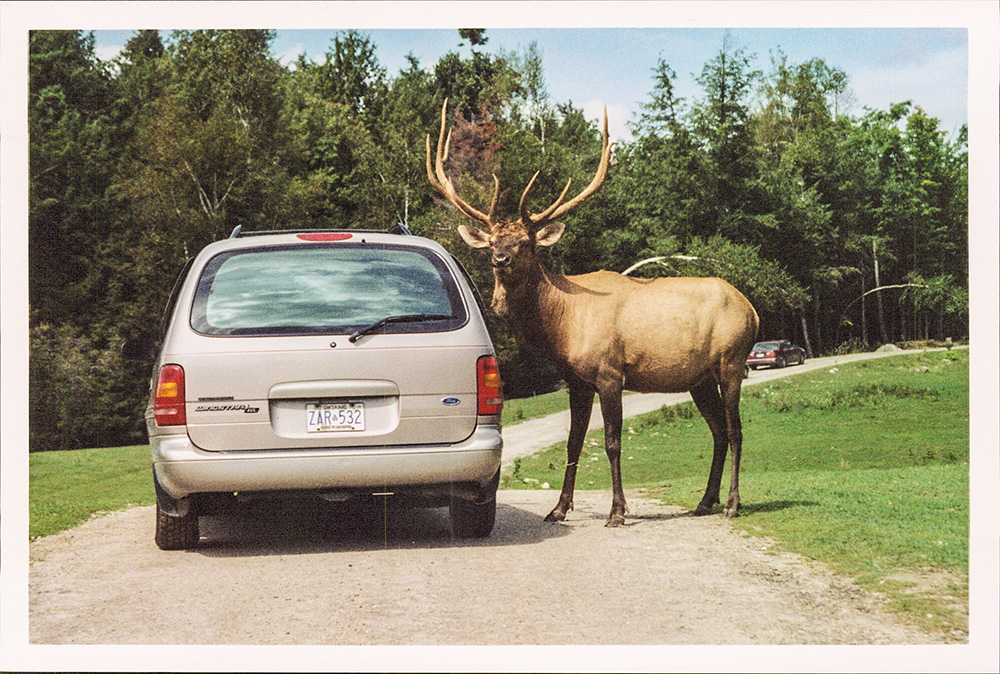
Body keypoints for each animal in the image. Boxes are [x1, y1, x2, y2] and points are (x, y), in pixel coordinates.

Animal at [426, 101, 760, 524]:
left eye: (525, 242)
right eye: (492, 243)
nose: (500, 259)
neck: (563, 326)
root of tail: (752, 310)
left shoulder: (610, 371)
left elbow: (612, 442)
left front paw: (617, 511)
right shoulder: (576, 379)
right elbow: (573, 442)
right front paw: (558, 509)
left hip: (732, 359)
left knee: (735, 431)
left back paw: (732, 504)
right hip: (698, 378)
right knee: (717, 430)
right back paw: (704, 501)